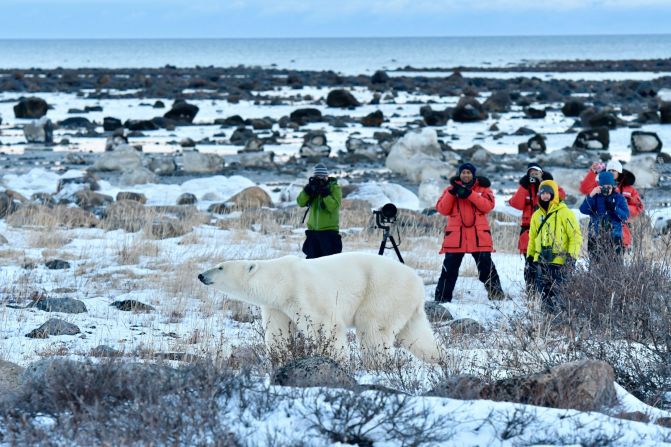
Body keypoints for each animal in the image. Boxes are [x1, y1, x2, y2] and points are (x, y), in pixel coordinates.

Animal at [198, 252, 440, 364]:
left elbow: (326, 325)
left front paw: (336, 359)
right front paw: (280, 358)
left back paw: (376, 363)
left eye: (220, 267)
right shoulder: (276, 305)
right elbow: (277, 331)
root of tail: (419, 283)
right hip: (404, 304)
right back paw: (440, 359)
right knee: (417, 335)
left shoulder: (304, 291)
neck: (281, 280)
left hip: (383, 291)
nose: (201, 275)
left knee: (373, 328)